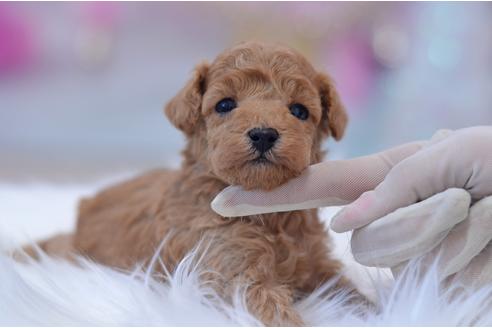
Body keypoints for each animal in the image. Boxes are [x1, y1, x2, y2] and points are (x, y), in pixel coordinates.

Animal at [30, 41, 362, 326]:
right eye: (225, 105)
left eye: (299, 111)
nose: (264, 134)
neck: (266, 209)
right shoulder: (231, 270)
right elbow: (268, 308)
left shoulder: (320, 267)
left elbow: (350, 293)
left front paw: (372, 309)